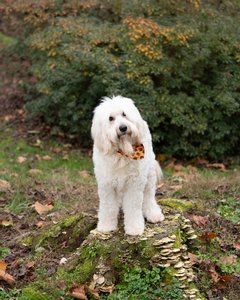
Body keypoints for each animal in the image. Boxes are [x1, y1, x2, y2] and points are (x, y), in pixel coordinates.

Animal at [91, 95, 164, 236]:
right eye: (111, 118)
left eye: (124, 114)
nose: (123, 128)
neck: (122, 153)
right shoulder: (106, 185)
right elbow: (108, 207)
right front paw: (106, 225)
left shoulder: (134, 185)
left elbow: (133, 206)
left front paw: (134, 227)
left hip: (149, 174)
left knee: (149, 196)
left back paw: (153, 213)